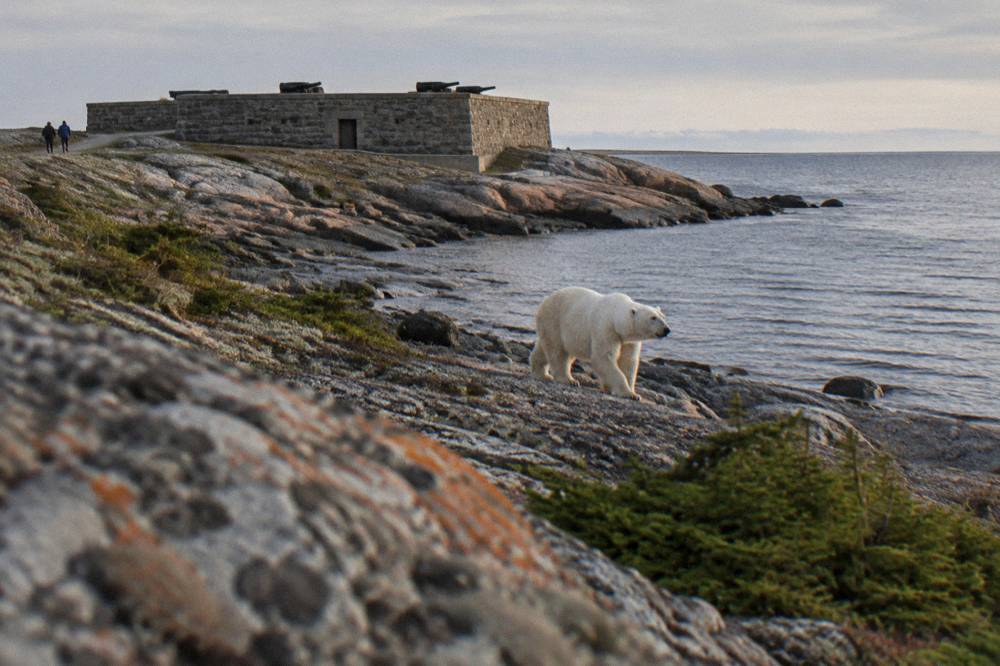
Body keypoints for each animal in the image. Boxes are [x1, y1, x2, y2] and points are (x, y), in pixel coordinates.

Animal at [529, 287, 670, 400]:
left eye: (663, 316)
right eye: (653, 318)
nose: (666, 330)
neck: (615, 318)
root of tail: (544, 301)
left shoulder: (628, 341)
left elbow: (628, 361)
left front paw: (633, 393)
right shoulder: (605, 329)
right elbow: (603, 358)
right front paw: (627, 393)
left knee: (545, 348)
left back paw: (541, 373)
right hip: (554, 321)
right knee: (558, 352)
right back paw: (568, 379)